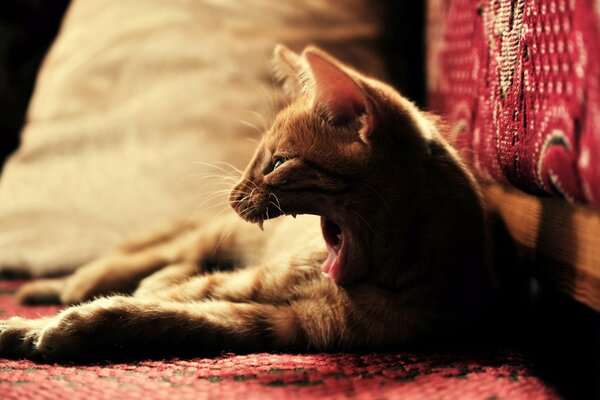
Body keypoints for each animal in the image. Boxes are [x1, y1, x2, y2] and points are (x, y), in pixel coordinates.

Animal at [0, 45, 496, 360]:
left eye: (276, 162)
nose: (233, 195)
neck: (377, 278)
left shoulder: (290, 324)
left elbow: (162, 314)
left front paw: (56, 328)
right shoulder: (260, 279)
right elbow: (169, 295)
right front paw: (34, 324)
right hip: (218, 238)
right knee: (152, 256)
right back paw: (73, 282)